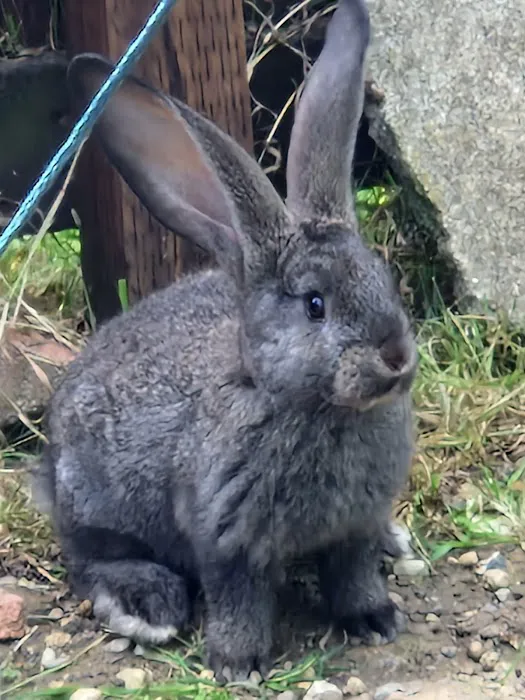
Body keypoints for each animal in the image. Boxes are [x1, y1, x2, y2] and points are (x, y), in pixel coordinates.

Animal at [34, 0, 418, 682]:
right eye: (314, 305)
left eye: (383, 277)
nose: (396, 358)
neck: (297, 399)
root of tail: (49, 473)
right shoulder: (226, 536)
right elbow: (239, 597)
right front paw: (241, 664)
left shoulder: (353, 529)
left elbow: (352, 575)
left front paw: (374, 619)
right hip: (97, 504)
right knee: (87, 560)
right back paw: (147, 603)